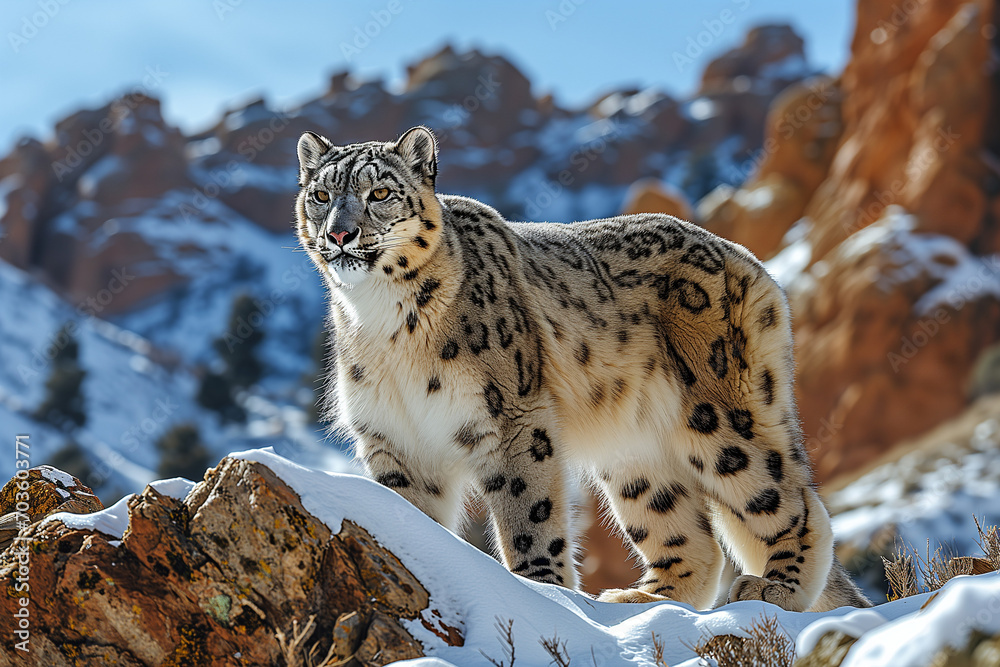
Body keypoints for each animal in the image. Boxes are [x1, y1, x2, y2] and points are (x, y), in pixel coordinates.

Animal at [294, 126, 870, 611]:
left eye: (379, 194)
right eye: (321, 196)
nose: (340, 234)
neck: (385, 324)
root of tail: (743, 258)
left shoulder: (512, 419)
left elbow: (528, 510)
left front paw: (540, 590)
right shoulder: (393, 435)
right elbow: (411, 514)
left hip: (720, 415)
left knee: (791, 499)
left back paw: (775, 586)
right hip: (634, 454)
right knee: (689, 537)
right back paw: (642, 601)